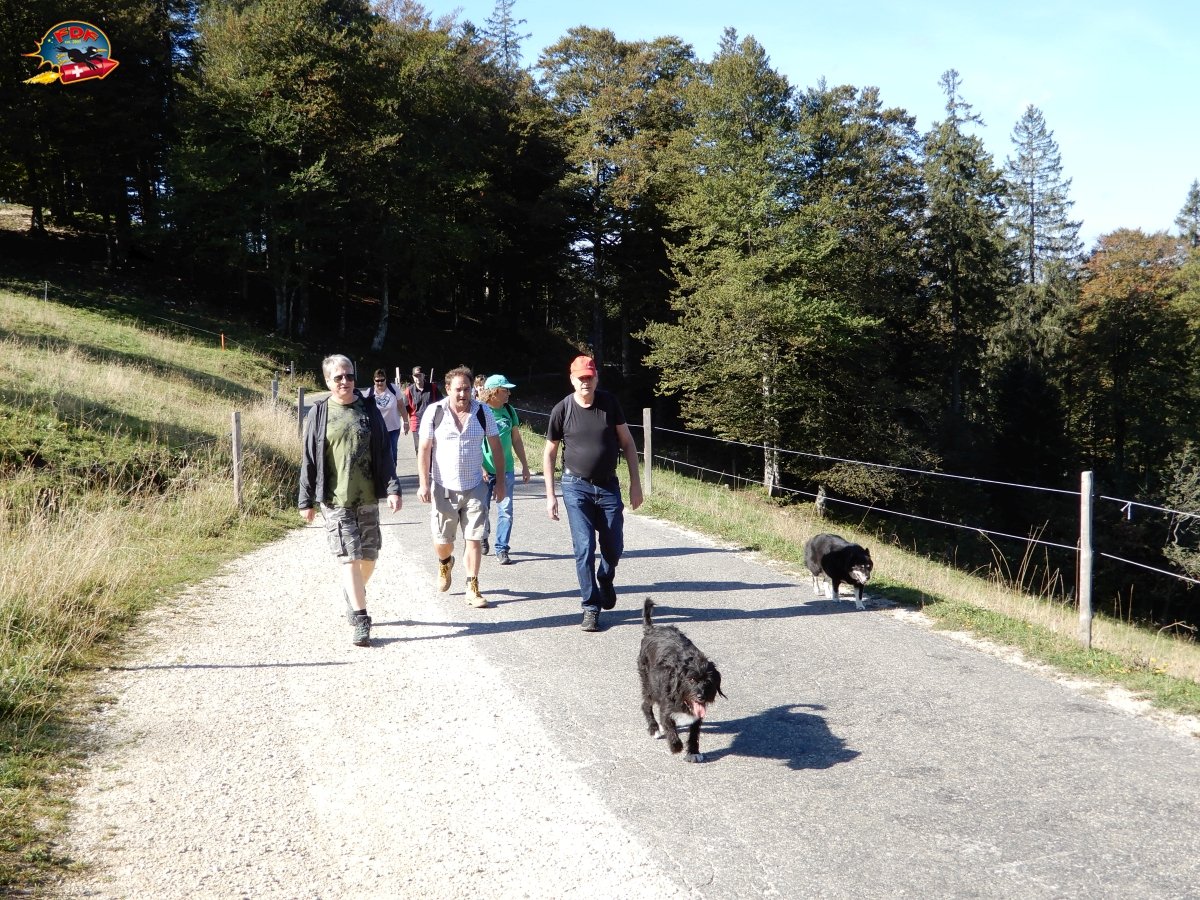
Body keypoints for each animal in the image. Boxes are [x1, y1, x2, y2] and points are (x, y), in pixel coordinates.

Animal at [638, 599, 725, 763]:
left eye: (708, 681)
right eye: (691, 679)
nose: (701, 696)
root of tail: (652, 630)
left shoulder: (697, 713)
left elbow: (694, 733)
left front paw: (693, 752)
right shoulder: (666, 705)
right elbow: (668, 724)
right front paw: (675, 746)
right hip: (650, 686)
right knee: (645, 705)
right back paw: (654, 728)